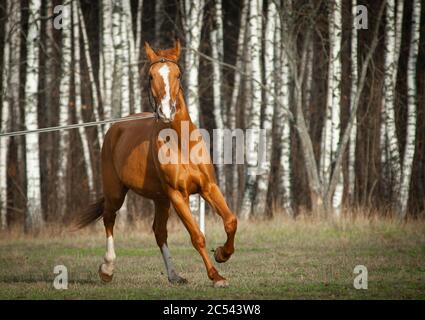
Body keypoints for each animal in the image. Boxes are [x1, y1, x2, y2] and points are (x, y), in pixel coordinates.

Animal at [74, 39, 237, 288]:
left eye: (178, 74)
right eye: (151, 76)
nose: (166, 111)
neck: (180, 142)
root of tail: (116, 128)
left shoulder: (208, 187)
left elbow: (230, 221)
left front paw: (222, 254)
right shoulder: (178, 194)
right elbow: (197, 236)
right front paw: (216, 276)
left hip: (161, 200)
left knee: (159, 232)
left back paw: (174, 275)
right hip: (116, 192)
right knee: (109, 219)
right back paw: (107, 269)